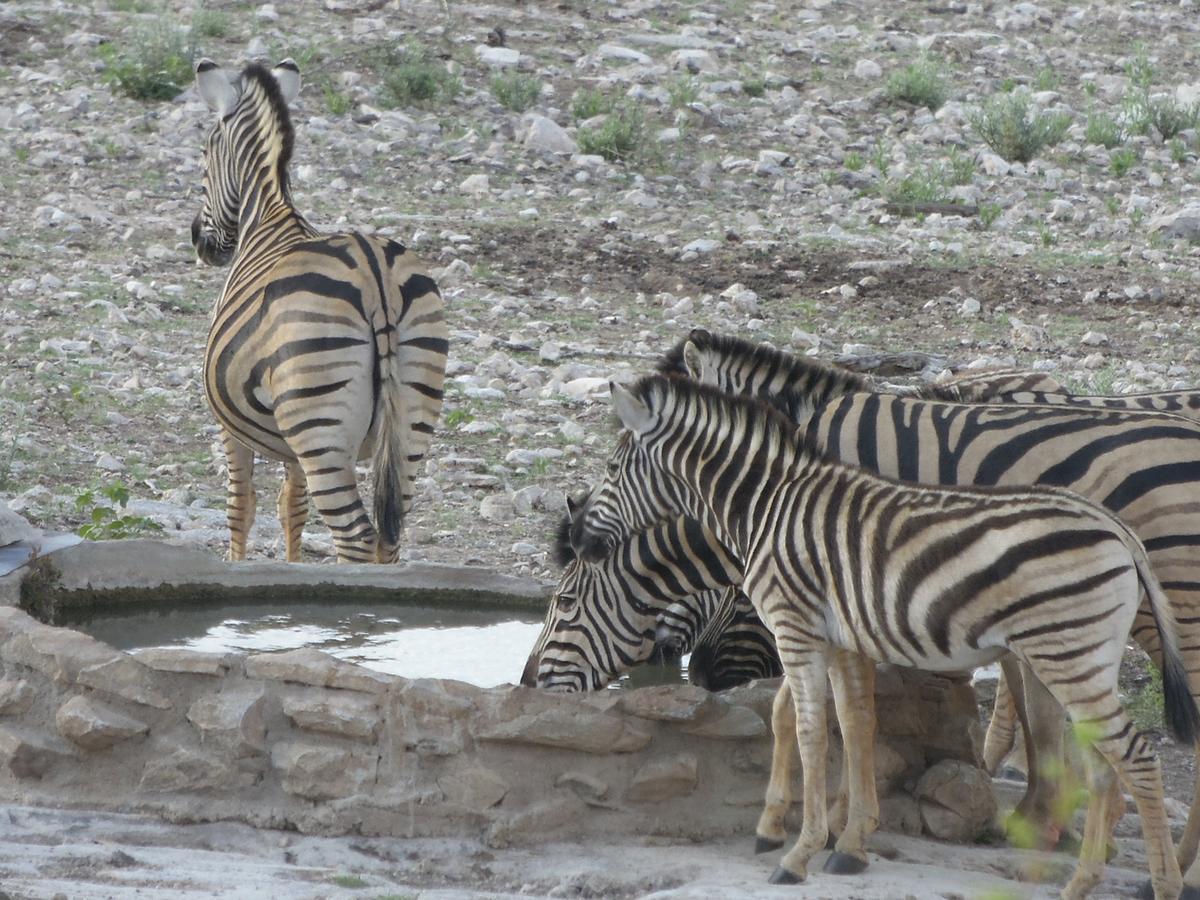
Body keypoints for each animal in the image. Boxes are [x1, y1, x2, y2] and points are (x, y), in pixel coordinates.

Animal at [193, 60, 451, 561]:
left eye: (204, 153)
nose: (200, 242)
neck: (268, 214)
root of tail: (376, 277)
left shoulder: (231, 427)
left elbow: (241, 507)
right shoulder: (290, 444)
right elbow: (291, 507)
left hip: (318, 425)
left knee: (356, 536)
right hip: (408, 424)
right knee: (389, 538)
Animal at [576, 374, 1195, 900]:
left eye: (611, 465)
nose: (580, 538)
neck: (767, 504)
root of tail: (1116, 528)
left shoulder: (794, 627)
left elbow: (809, 732)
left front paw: (797, 853)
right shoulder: (841, 637)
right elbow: (850, 726)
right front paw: (845, 843)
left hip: (1069, 652)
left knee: (1138, 759)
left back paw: (1164, 884)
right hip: (1084, 658)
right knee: (1105, 767)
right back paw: (1080, 884)